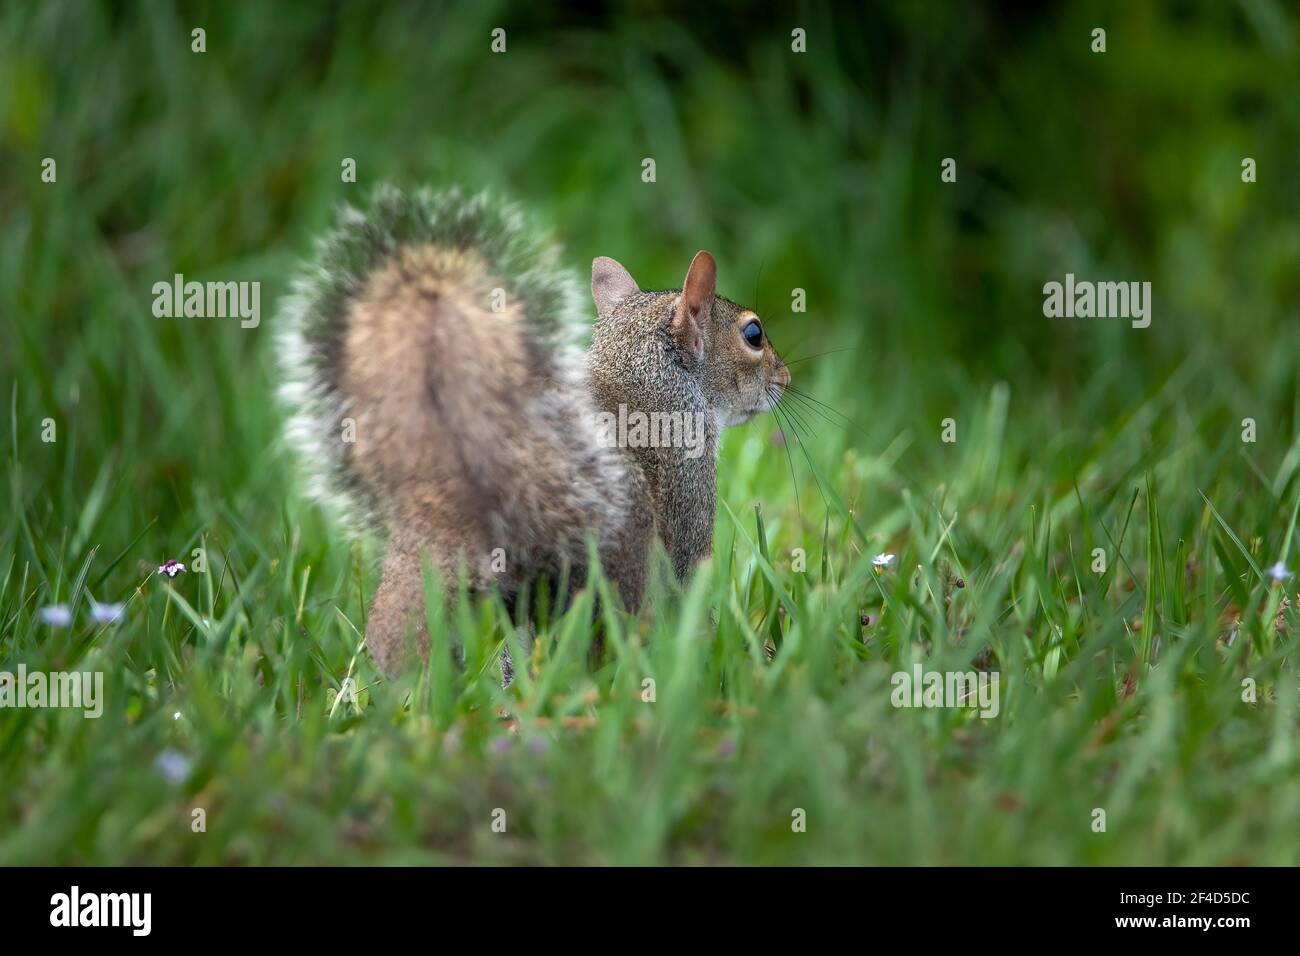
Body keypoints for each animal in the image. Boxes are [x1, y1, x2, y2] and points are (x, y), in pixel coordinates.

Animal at [279, 187, 790, 676]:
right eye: (753, 335)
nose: (784, 379)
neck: (649, 372)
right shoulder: (688, 487)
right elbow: (688, 579)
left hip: (416, 582)